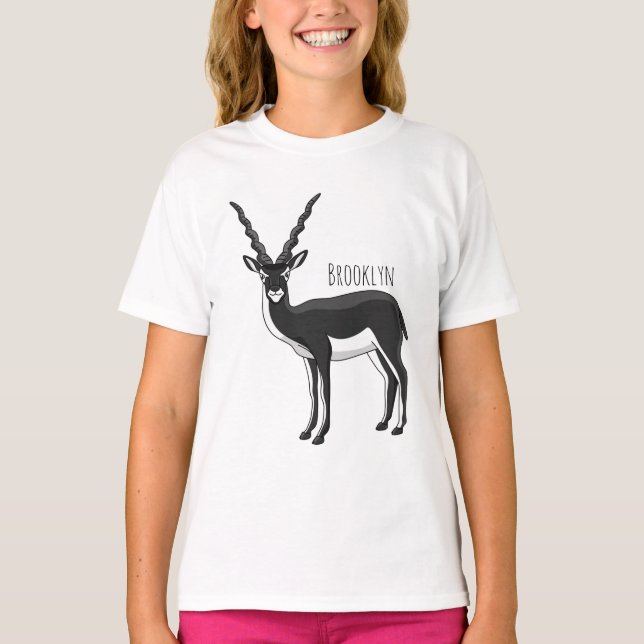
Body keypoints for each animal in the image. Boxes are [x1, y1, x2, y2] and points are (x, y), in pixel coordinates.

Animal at [230, 193, 408, 445]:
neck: (296, 318)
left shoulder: (323, 352)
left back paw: (399, 428)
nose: (275, 290)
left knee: (402, 374)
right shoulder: (308, 358)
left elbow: (326, 391)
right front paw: (306, 431)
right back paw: (383, 424)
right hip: (374, 350)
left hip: (389, 344)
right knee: (390, 378)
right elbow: (313, 391)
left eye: (286, 273)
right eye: (263, 275)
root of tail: (393, 301)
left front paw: (320, 435)